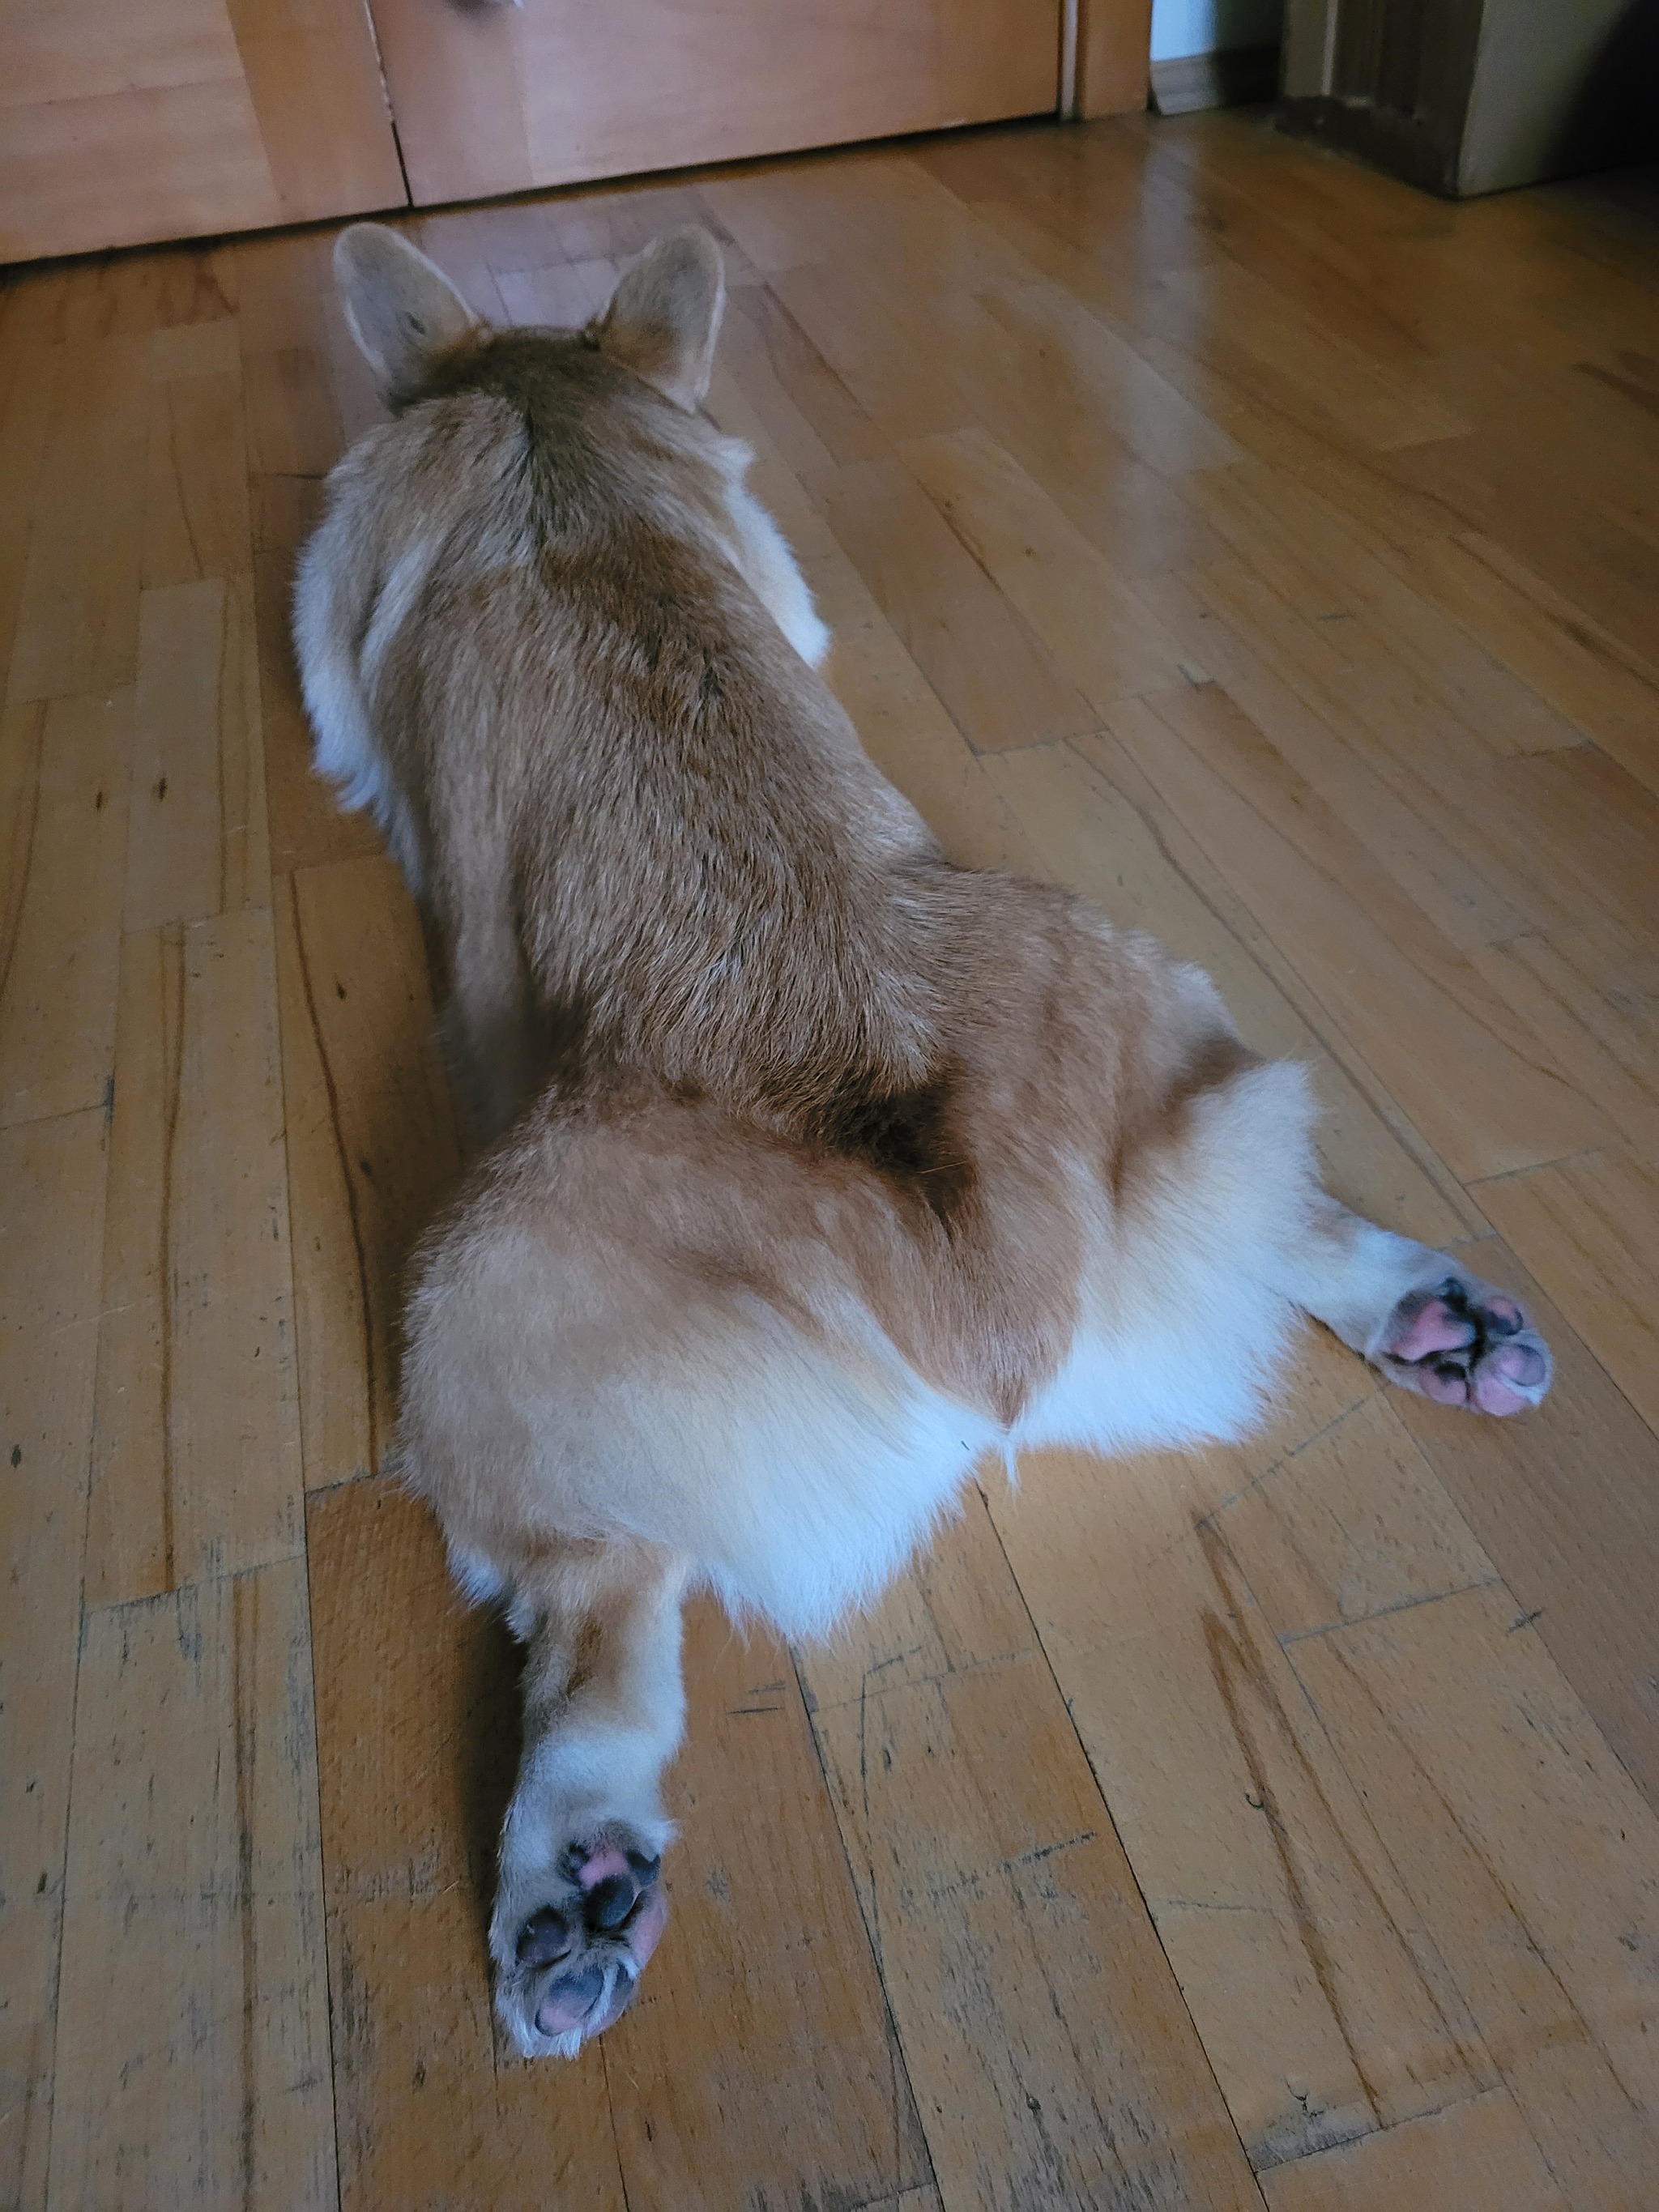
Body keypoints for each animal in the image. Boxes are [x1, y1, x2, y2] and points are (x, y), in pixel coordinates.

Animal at [295, 220, 1553, 2060]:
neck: (552, 432)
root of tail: (977, 1292)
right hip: (1181, 1043)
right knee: (1287, 1213)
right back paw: (1432, 1316)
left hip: (468, 1318)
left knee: (598, 1611)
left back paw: (572, 1873)